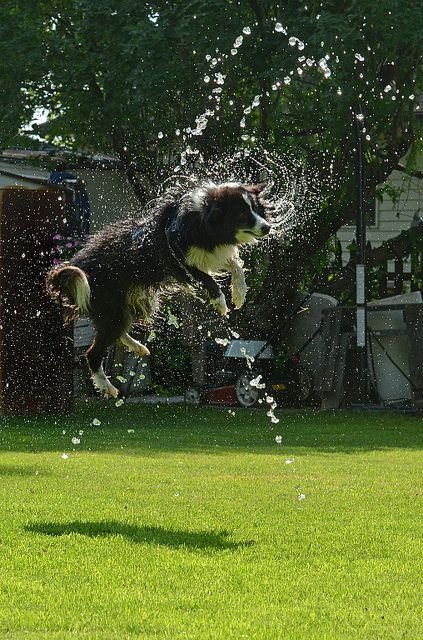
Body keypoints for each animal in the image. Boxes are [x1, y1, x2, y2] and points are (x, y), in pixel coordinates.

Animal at [47, 182, 272, 398]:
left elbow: (235, 265)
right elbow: (208, 279)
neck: (201, 218)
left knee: (117, 330)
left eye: (256, 209)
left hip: (121, 306)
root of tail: (79, 266)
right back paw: (107, 387)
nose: (267, 227)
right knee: (93, 353)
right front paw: (220, 302)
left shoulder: (209, 253)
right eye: (241, 214)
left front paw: (239, 293)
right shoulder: (176, 261)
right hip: (111, 308)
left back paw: (138, 347)